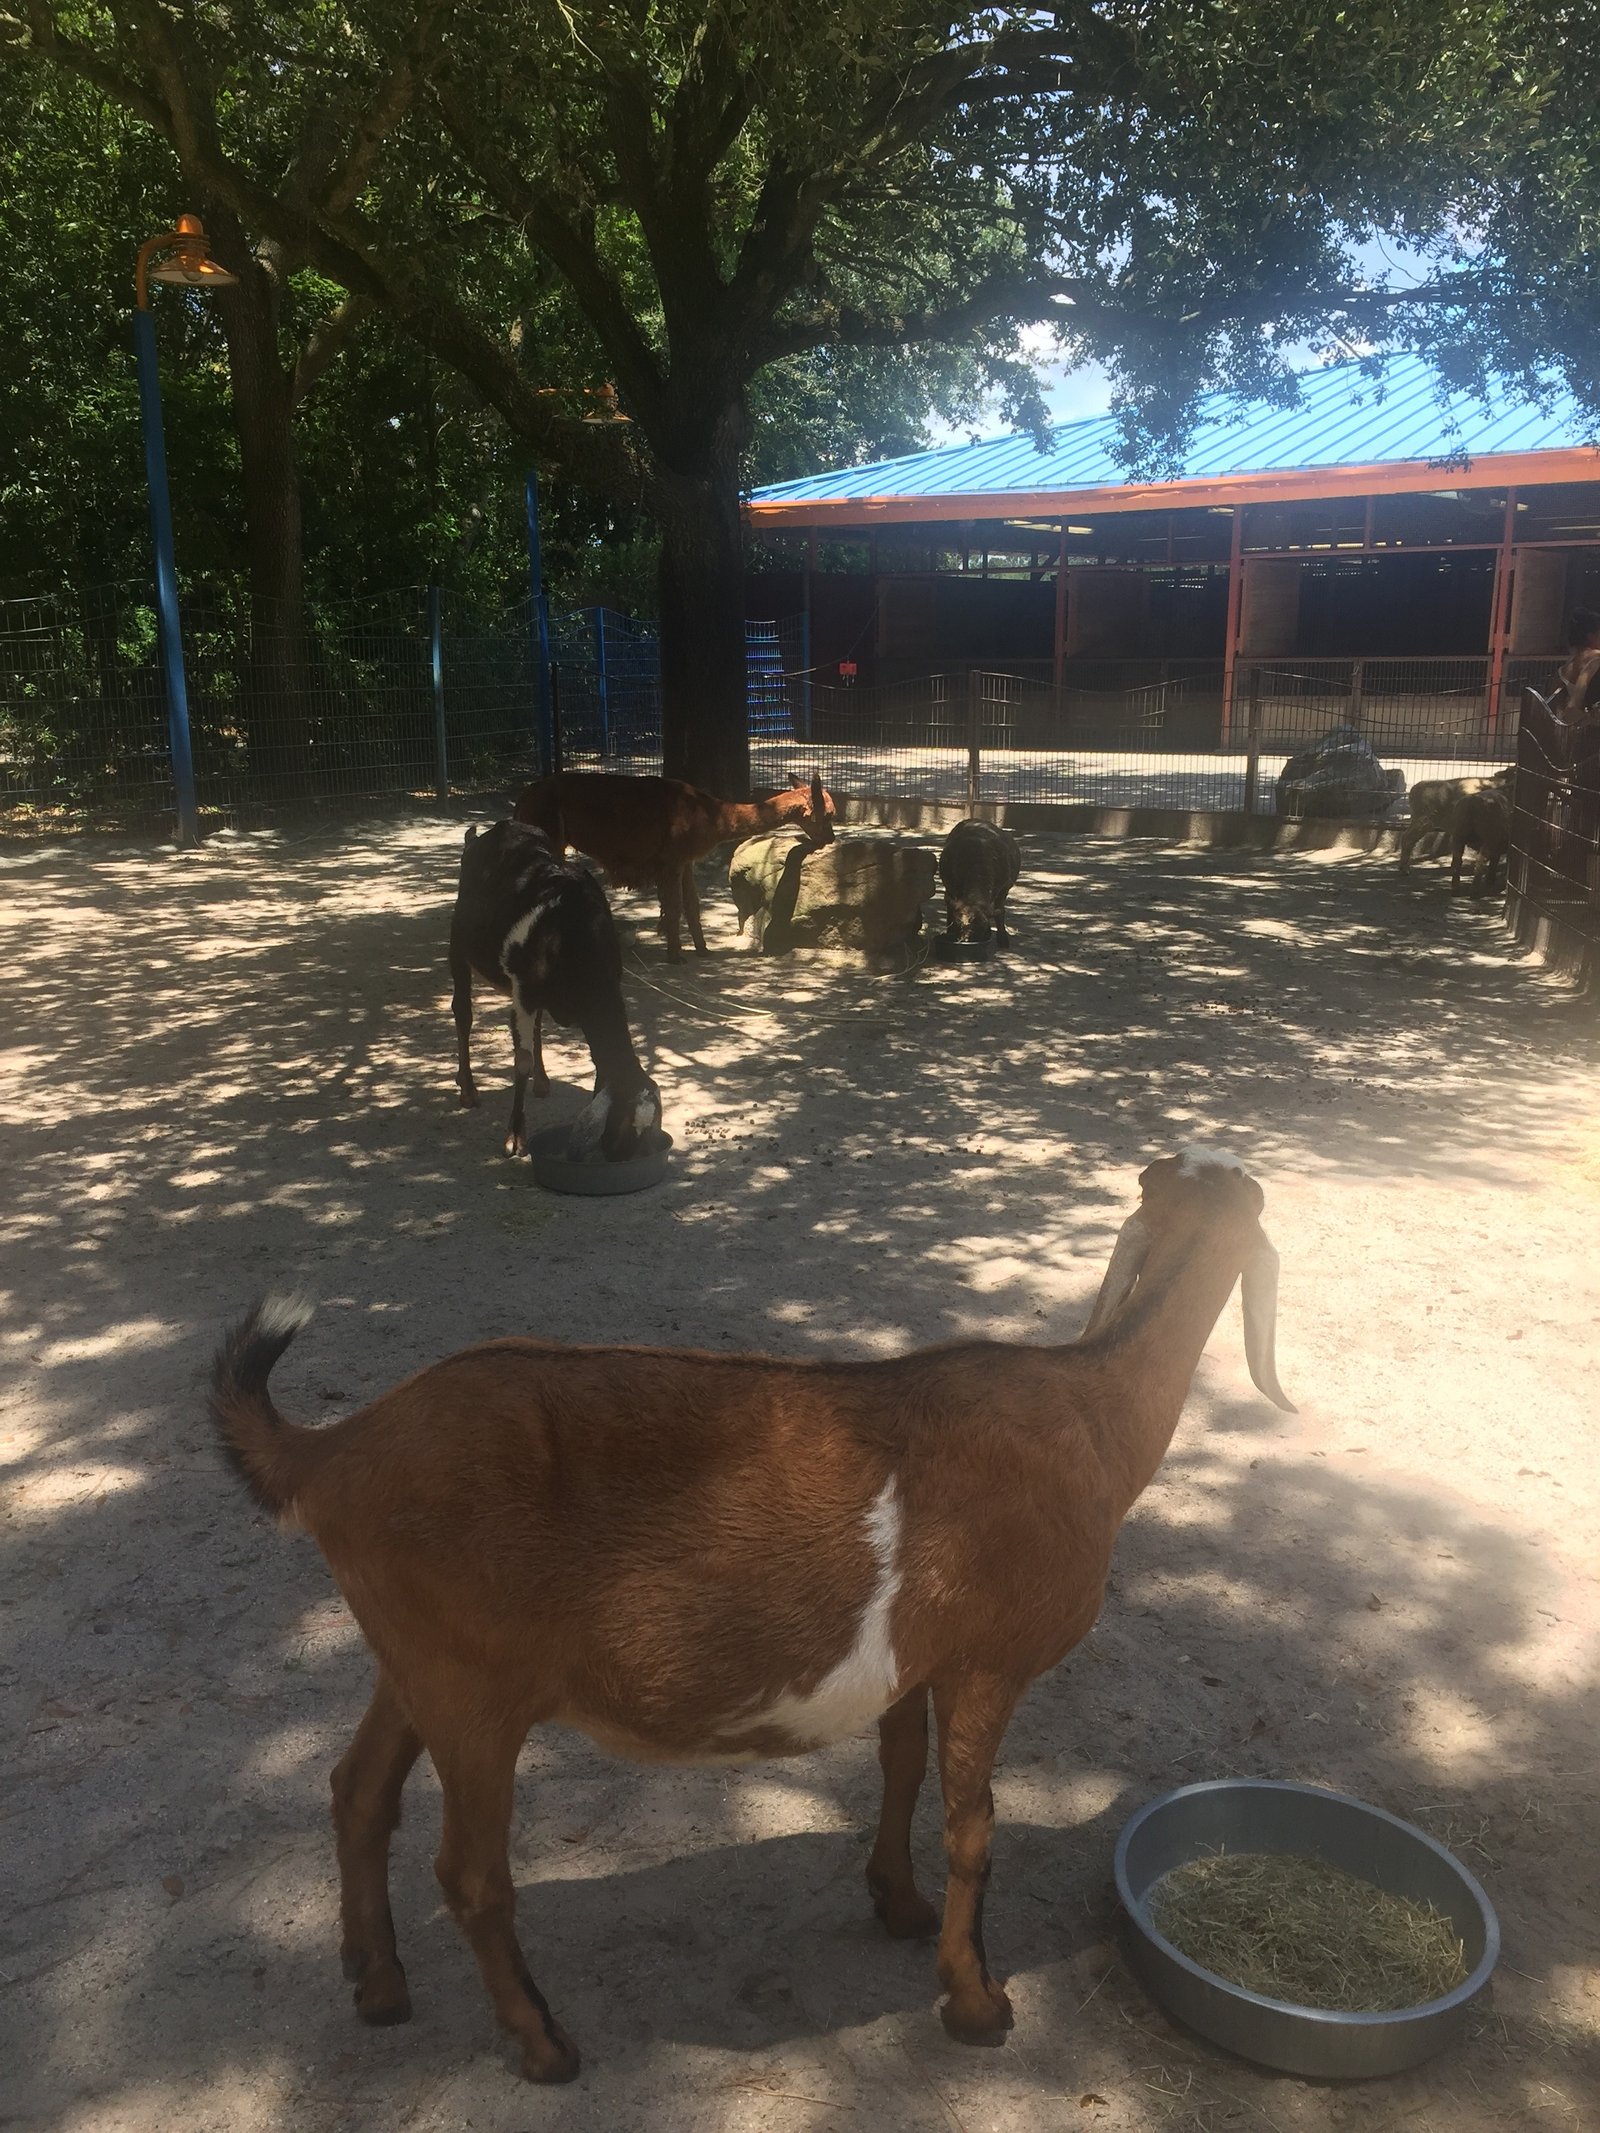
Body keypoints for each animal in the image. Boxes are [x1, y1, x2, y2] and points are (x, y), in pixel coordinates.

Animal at [210, 1148, 1293, 2082]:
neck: (1094, 1411)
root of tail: (333, 1451)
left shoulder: (917, 1657)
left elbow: (900, 1766)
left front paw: (897, 1904)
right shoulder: (988, 1660)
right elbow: (973, 1825)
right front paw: (976, 2003)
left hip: (414, 1660)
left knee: (358, 1790)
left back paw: (379, 1986)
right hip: (470, 1689)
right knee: (470, 1873)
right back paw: (544, 2044)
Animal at [448, 820, 661, 1161]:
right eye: (626, 1121)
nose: (620, 1158)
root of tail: (486, 835)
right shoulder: (523, 993)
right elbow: (521, 1060)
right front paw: (515, 1137)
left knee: (534, 1026)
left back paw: (542, 1082)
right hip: (458, 943)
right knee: (462, 1013)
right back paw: (467, 1089)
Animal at [513, 769, 836, 961]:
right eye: (829, 814)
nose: (831, 838)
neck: (711, 815)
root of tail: (524, 797)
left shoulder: (685, 861)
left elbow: (691, 905)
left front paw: (703, 950)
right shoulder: (671, 861)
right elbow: (675, 905)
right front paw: (675, 955)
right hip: (549, 836)